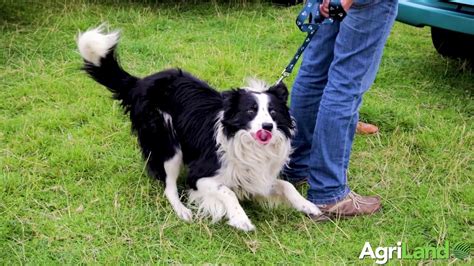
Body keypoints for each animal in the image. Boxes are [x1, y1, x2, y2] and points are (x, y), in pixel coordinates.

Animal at [78, 26, 320, 232]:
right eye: (250, 111)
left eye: (273, 112)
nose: (267, 126)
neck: (245, 143)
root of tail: (139, 83)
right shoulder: (200, 176)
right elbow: (227, 191)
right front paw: (241, 219)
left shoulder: (258, 176)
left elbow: (285, 185)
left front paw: (308, 205)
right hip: (168, 144)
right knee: (169, 186)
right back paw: (182, 211)